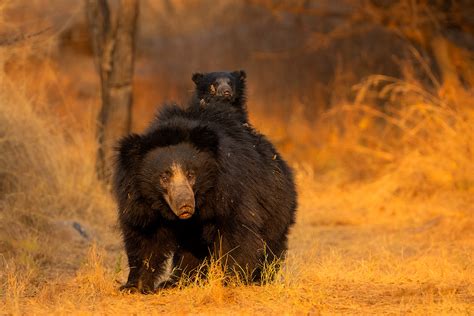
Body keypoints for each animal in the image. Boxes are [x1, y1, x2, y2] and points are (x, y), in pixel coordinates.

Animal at [114, 102, 296, 294]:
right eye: (164, 177)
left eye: (191, 174)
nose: (185, 205)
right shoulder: (139, 202)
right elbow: (145, 237)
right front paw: (133, 286)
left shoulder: (229, 191)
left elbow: (236, 234)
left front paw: (230, 280)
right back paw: (176, 282)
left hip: (276, 206)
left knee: (271, 245)